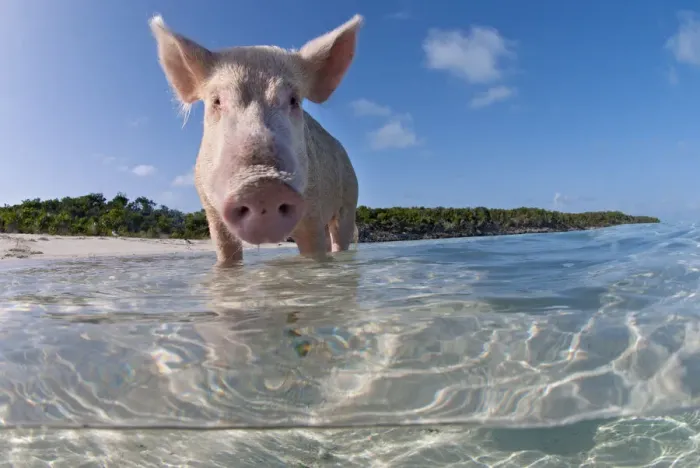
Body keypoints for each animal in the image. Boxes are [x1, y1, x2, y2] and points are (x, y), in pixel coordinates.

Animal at [148, 14, 363, 267]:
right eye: (217, 101)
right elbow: (226, 256)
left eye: (294, 100)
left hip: (349, 199)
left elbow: (313, 255)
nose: (262, 185)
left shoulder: (313, 209)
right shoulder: (211, 212)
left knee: (340, 240)